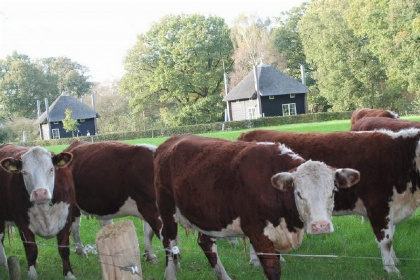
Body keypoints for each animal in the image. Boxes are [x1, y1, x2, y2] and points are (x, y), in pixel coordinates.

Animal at [0, 145, 74, 278]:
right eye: (24, 172)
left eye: (51, 169)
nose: (40, 193)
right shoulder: (23, 224)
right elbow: (31, 250)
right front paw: (32, 275)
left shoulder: (66, 219)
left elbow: (64, 249)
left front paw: (69, 275)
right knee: (0, 238)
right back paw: (4, 263)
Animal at [154, 135, 358, 278]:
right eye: (299, 193)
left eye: (333, 191)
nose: (320, 226)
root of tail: (172, 140)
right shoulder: (257, 233)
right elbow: (273, 270)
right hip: (167, 211)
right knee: (169, 242)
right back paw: (170, 275)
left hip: (206, 217)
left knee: (206, 244)